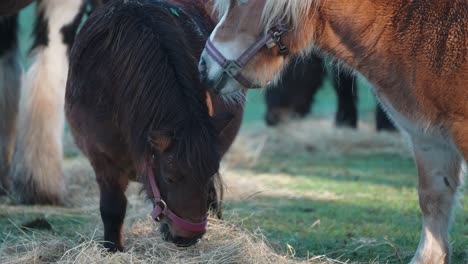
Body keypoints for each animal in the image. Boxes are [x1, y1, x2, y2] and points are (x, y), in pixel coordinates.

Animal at [65, 0, 243, 252]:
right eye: (170, 177)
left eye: (208, 172)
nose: (187, 238)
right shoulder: (103, 161)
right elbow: (112, 209)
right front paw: (113, 248)